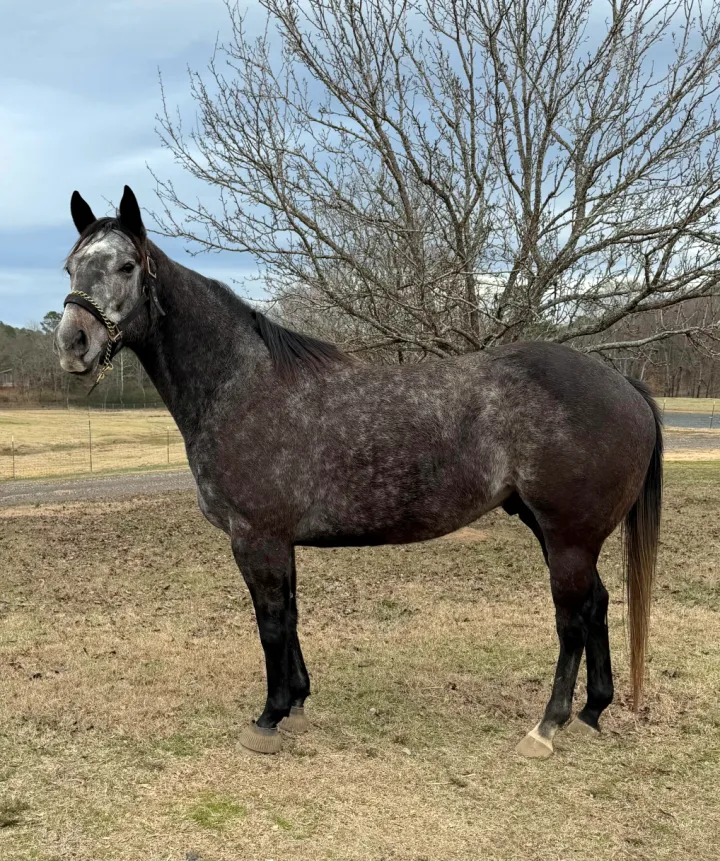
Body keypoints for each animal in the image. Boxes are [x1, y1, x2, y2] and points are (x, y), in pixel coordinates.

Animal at [54, 186, 662, 758]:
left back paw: (547, 726)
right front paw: (297, 704)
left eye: (126, 266)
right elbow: (291, 617)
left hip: (568, 538)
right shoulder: (281, 542)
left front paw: (268, 719)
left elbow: (270, 624)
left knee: (572, 620)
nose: (72, 343)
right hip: (555, 531)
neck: (242, 387)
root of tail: (622, 383)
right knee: (598, 604)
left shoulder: (256, 538)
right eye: (69, 266)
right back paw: (591, 711)